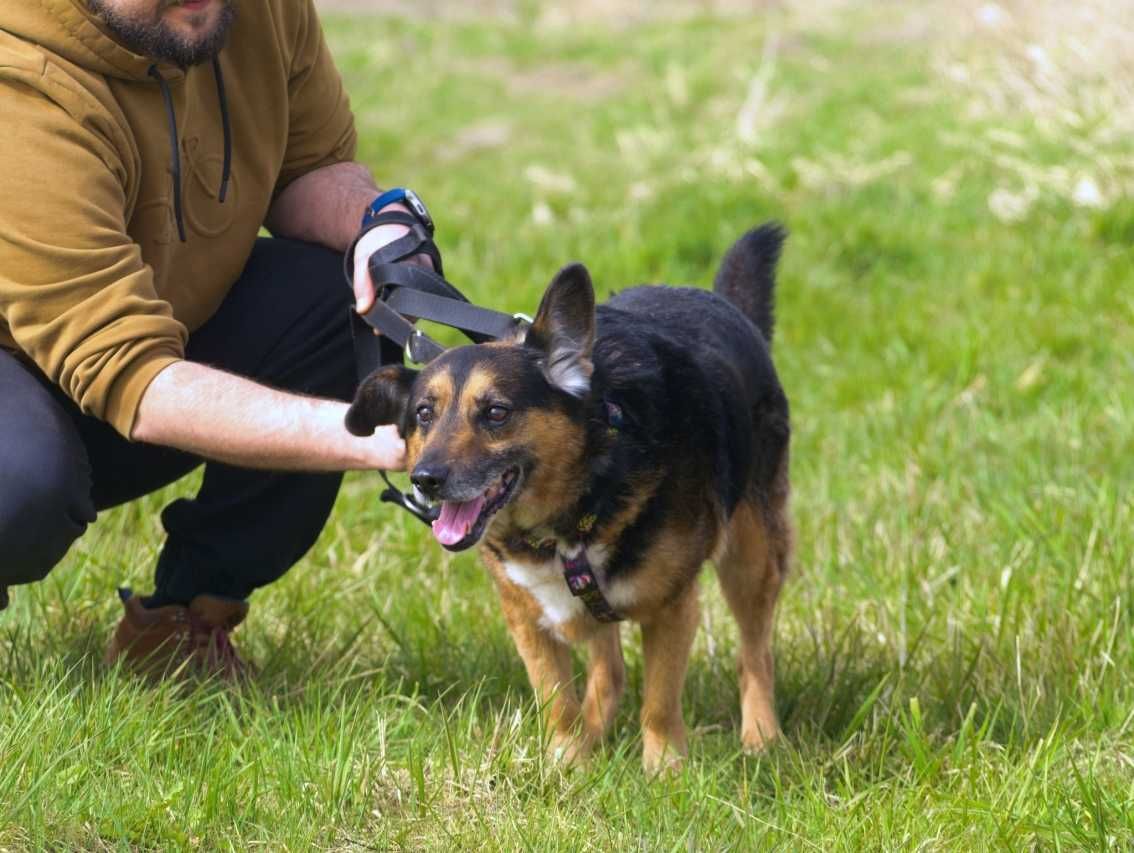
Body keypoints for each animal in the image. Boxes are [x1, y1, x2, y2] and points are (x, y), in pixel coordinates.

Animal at [344, 224, 789, 771]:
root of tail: (724, 303)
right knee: (611, 671)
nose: (425, 479)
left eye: (496, 413)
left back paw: (761, 736)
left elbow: (660, 702)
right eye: (424, 414)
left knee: (755, 654)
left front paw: (664, 771)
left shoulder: (673, 607)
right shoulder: (524, 615)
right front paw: (568, 764)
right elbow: (557, 697)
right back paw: (596, 735)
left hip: (753, 555)